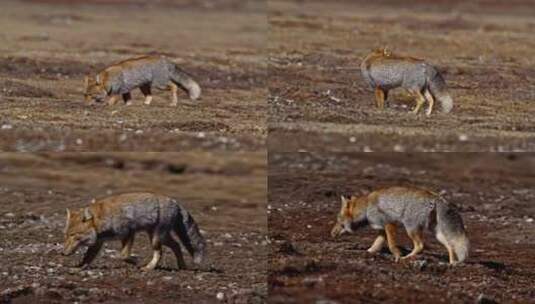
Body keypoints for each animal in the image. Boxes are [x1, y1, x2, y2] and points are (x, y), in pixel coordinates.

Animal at [61, 192, 206, 270]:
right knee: (176, 245)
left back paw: (148, 267)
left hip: (156, 239)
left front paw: (136, 262)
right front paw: (80, 267)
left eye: (73, 235)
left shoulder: (129, 232)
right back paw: (182, 266)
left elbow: (123, 255)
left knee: (161, 252)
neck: (103, 220)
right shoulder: (99, 242)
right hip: (159, 237)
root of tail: (175, 201)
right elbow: (87, 257)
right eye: (66, 236)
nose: (62, 253)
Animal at [330, 185, 468, 264]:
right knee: (450, 246)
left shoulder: (389, 224)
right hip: (436, 233)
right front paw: (367, 252)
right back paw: (452, 263)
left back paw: (406, 258)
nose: (331, 233)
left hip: (410, 228)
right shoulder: (381, 229)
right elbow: (375, 245)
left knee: (420, 246)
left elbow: (391, 245)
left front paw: (397, 256)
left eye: (338, 220)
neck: (366, 207)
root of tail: (435, 196)